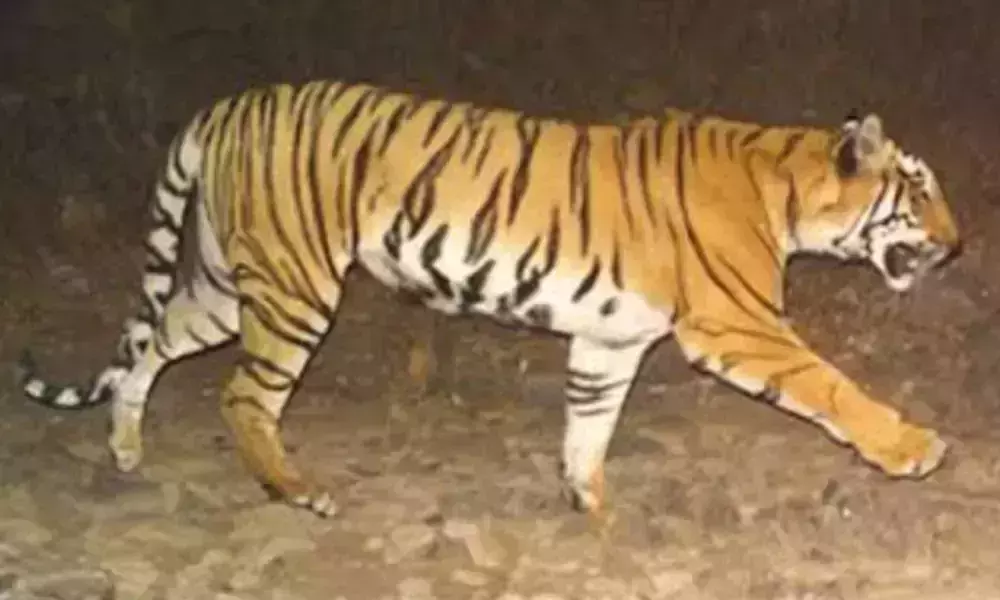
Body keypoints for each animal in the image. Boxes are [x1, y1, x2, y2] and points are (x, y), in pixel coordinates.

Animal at [19, 79, 960, 518]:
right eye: (919, 192)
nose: (957, 246)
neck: (786, 187)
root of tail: (223, 105)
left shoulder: (609, 341)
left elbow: (588, 426)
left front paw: (591, 505)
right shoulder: (742, 325)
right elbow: (832, 386)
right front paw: (913, 447)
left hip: (227, 282)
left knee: (150, 343)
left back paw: (127, 450)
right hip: (294, 288)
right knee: (245, 394)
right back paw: (295, 490)